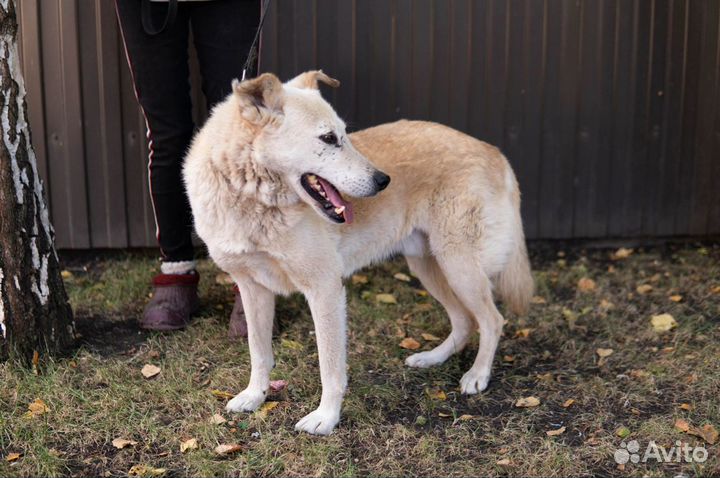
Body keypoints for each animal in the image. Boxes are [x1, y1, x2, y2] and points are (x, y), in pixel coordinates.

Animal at [184, 70, 536, 434]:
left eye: (344, 134)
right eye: (328, 138)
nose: (384, 181)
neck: (251, 196)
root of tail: (492, 149)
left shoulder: (325, 289)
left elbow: (330, 366)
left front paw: (326, 418)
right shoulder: (252, 290)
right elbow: (258, 352)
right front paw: (255, 396)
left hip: (458, 266)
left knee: (492, 320)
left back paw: (477, 375)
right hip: (429, 266)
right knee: (465, 320)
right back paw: (432, 358)